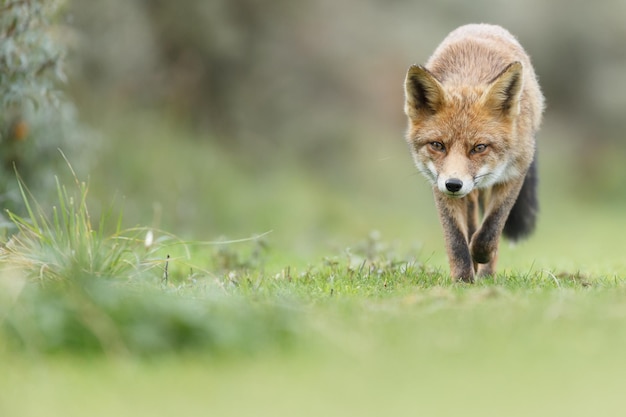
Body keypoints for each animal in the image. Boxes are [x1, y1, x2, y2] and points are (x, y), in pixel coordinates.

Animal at [404, 23, 540, 282]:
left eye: (479, 148)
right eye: (438, 145)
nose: (453, 184)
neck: (469, 75)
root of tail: (482, 25)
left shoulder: (514, 173)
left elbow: (491, 230)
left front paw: (480, 255)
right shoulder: (438, 181)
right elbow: (456, 239)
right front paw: (462, 279)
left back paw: (486, 274)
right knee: (470, 221)